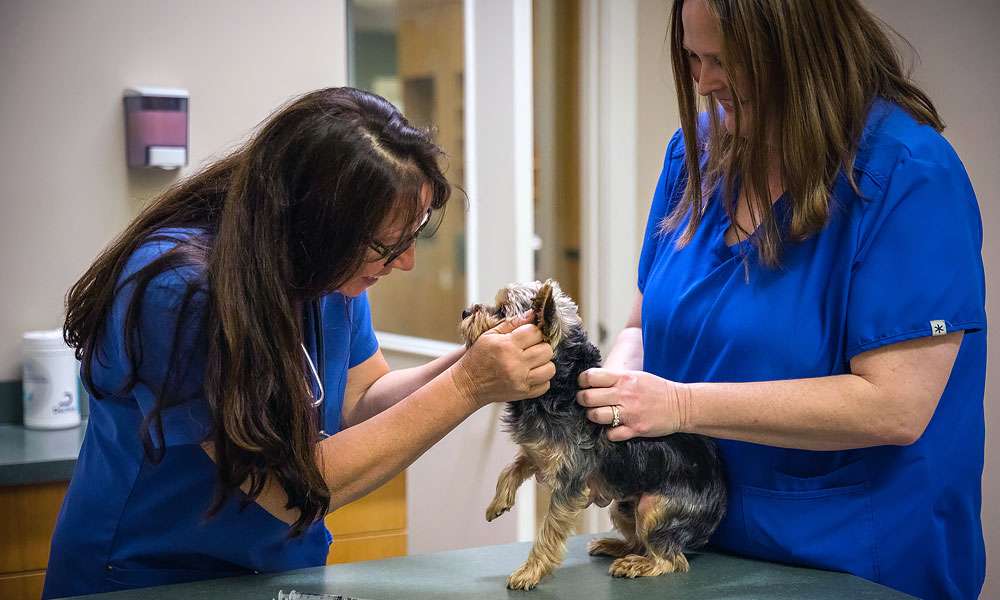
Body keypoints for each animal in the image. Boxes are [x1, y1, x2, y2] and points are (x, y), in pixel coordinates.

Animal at [460, 282, 728, 592]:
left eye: (502, 311)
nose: (465, 311)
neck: (558, 387)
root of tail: (721, 498)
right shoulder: (540, 451)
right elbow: (513, 466)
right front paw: (498, 502)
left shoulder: (570, 482)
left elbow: (548, 530)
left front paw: (530, 571)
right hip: (624, 506)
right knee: (639, 541)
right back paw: (615, 546)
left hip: (654, 508)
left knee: (671, 559)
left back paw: (637, 564)